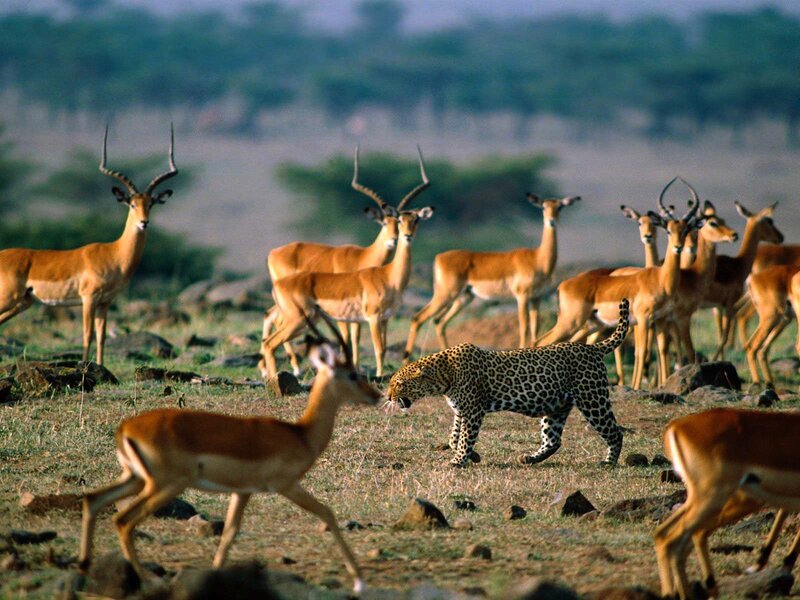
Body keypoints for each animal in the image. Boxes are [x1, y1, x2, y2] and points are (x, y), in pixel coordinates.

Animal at [386, 299, 629, 467]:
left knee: (615, 432)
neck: (443, 376)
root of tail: (593, 348)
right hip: (556, 406)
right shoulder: (460, 411)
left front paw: (459, 461)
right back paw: (529, 459)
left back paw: (608, 463)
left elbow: (465, 437)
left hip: (592, 400)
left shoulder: (473, 411)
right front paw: (472, 456)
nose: (388, 397)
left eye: (398, 384)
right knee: (553, 440)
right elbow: (455, 437)